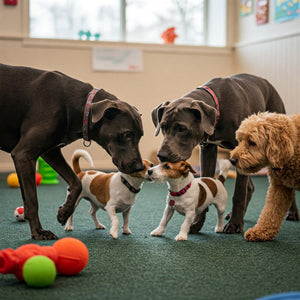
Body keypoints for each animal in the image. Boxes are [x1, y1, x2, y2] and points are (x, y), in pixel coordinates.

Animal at [0, 62, 145, 239]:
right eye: (127, 134)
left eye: (140, 136)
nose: (139, 167)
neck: (80, 106)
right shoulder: (24, 154)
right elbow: (32, 201)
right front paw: (38, 232)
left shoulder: (51, 152)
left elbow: (76, 182)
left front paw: (64, 212)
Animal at [229, 112, 298, 241]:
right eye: (240, 140)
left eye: (252, 142)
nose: (232, 160)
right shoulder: (279, 188)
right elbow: (271, 211)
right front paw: (260, 231)